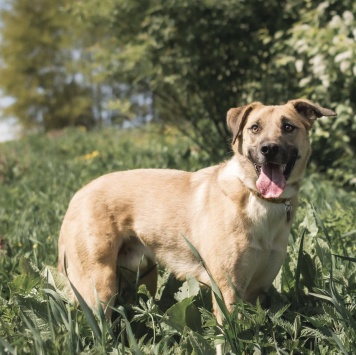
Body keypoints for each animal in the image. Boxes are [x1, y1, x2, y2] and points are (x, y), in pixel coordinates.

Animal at [57, 98, 336, 324]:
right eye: (254, 128)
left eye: (288, 127)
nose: (269, 149)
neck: (256, 199)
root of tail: (77, 195)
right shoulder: (227, 289)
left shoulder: (256, 289)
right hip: (99, 285)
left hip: (144, 274)